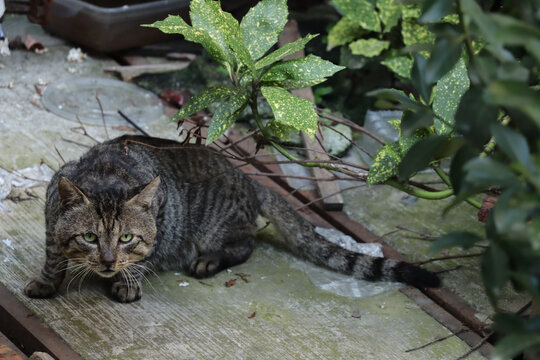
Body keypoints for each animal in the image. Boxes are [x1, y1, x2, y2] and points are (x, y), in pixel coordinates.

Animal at [25, 136, 438, 302]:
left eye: (126, 238)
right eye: (90, 238)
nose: (109, 262)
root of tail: (250, 181)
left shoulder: (163, 212)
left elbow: (143, 259)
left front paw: (128, 281)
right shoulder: (50, 210)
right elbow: (53, 255)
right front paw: (47, 281)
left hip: (215, 228)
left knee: (246, 245)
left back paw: (208, 261)